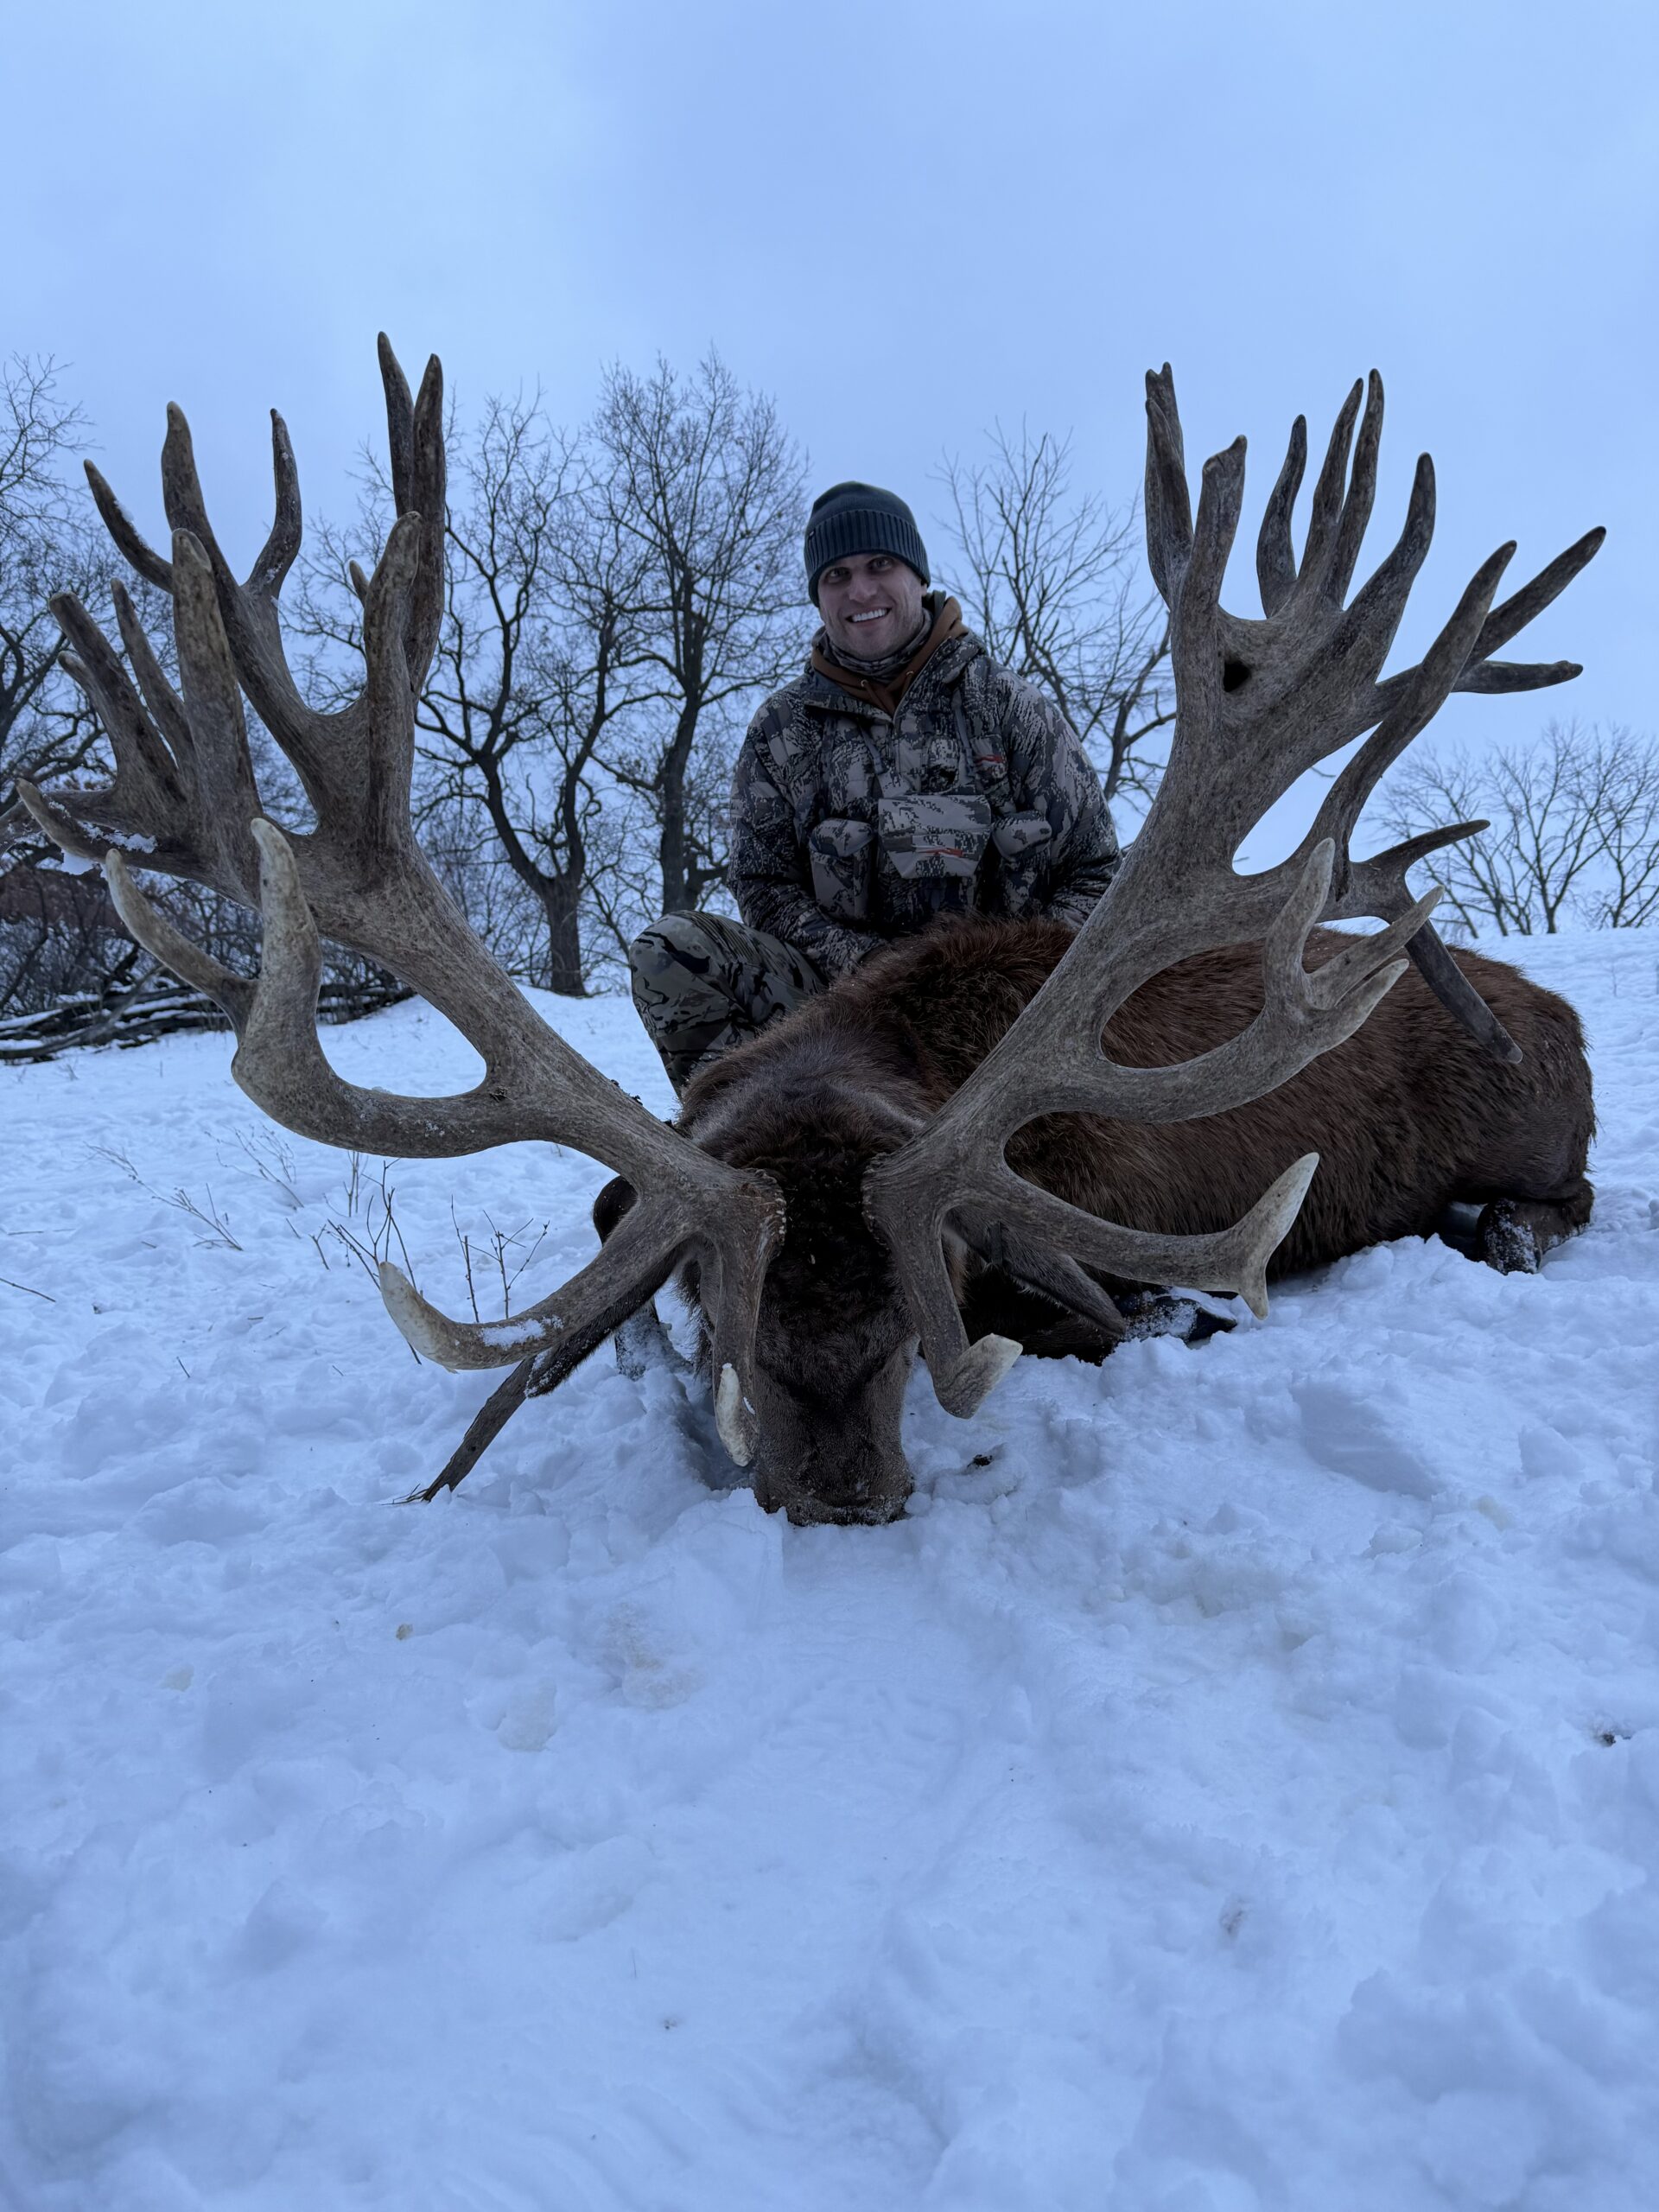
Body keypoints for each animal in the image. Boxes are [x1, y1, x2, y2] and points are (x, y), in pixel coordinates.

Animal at [11, 342, 1600, 1526]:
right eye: (723, 1314)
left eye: (914, 1314)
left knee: (1561, 1205)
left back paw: (1502, 1230)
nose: (840, 1489)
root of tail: (1559, 1018)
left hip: (1539, 1144)